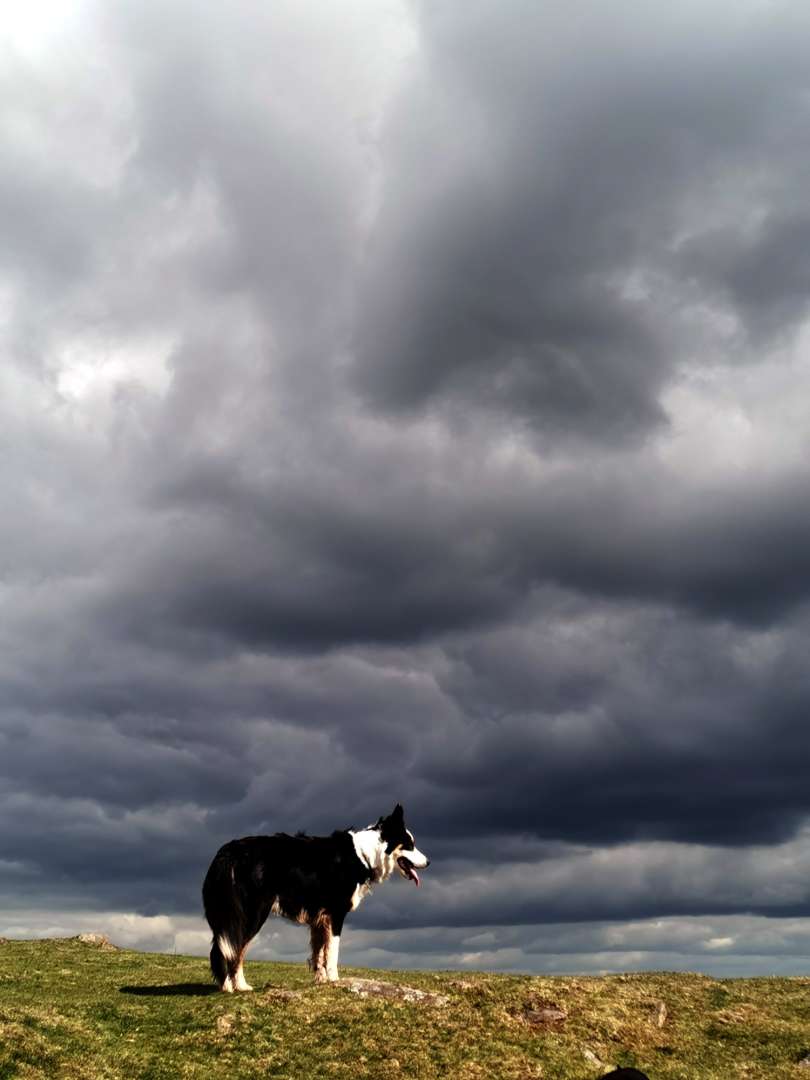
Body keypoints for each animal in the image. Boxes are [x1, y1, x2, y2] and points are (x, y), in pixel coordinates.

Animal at [202, 803, 429, 991]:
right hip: (252, 914)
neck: (365, 854)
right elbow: (333, 951)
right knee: (234, 950)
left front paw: (321, 980)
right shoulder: (336, 913)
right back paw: (237, 986)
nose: (428, 863)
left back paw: (231, 985)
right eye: (409, 845)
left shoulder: (320, 918)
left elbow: (319, 952)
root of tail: (230, 849)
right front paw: (334, 979)